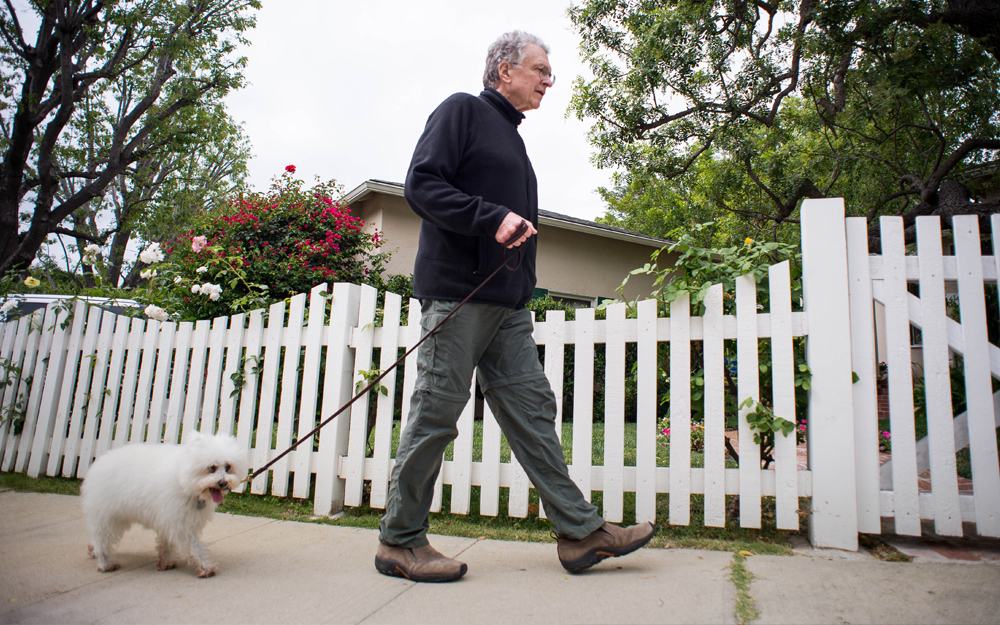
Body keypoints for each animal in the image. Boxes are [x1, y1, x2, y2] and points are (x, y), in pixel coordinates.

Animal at [80, 432, 248, 576]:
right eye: (211, 467)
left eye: (228, 467)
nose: (223, 482)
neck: (184, 479)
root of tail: (98, 462)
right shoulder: (180, 523)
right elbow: (194, 546)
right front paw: (205, 567)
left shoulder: (169, 520)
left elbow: (166, 543)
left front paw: (165, 562)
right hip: (107, 516)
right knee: (102, 540)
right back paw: (105, 563)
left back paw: (92, 550)